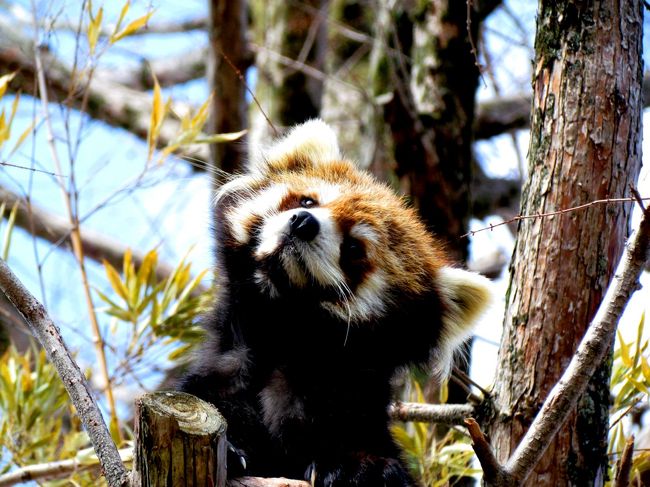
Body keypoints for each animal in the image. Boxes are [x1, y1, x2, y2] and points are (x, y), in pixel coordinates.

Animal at [178, 120, 492, 486]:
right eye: (308, 200)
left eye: (355, 248)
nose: (303, 221)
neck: (282, 332)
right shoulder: (220, 376)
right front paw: (233, 448)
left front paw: (358, 468)